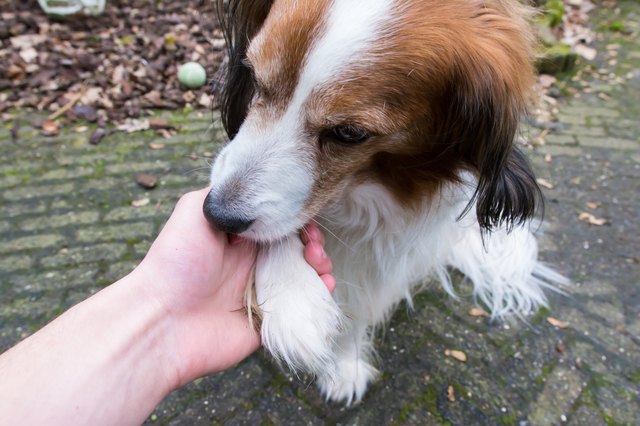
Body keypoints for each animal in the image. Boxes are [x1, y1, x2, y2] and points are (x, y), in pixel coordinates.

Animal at [204, 0, 564, 404]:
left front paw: (342, 360)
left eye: (349, 133)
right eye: (254, 77)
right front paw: (293, 292)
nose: (217, 214)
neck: (360, 187)